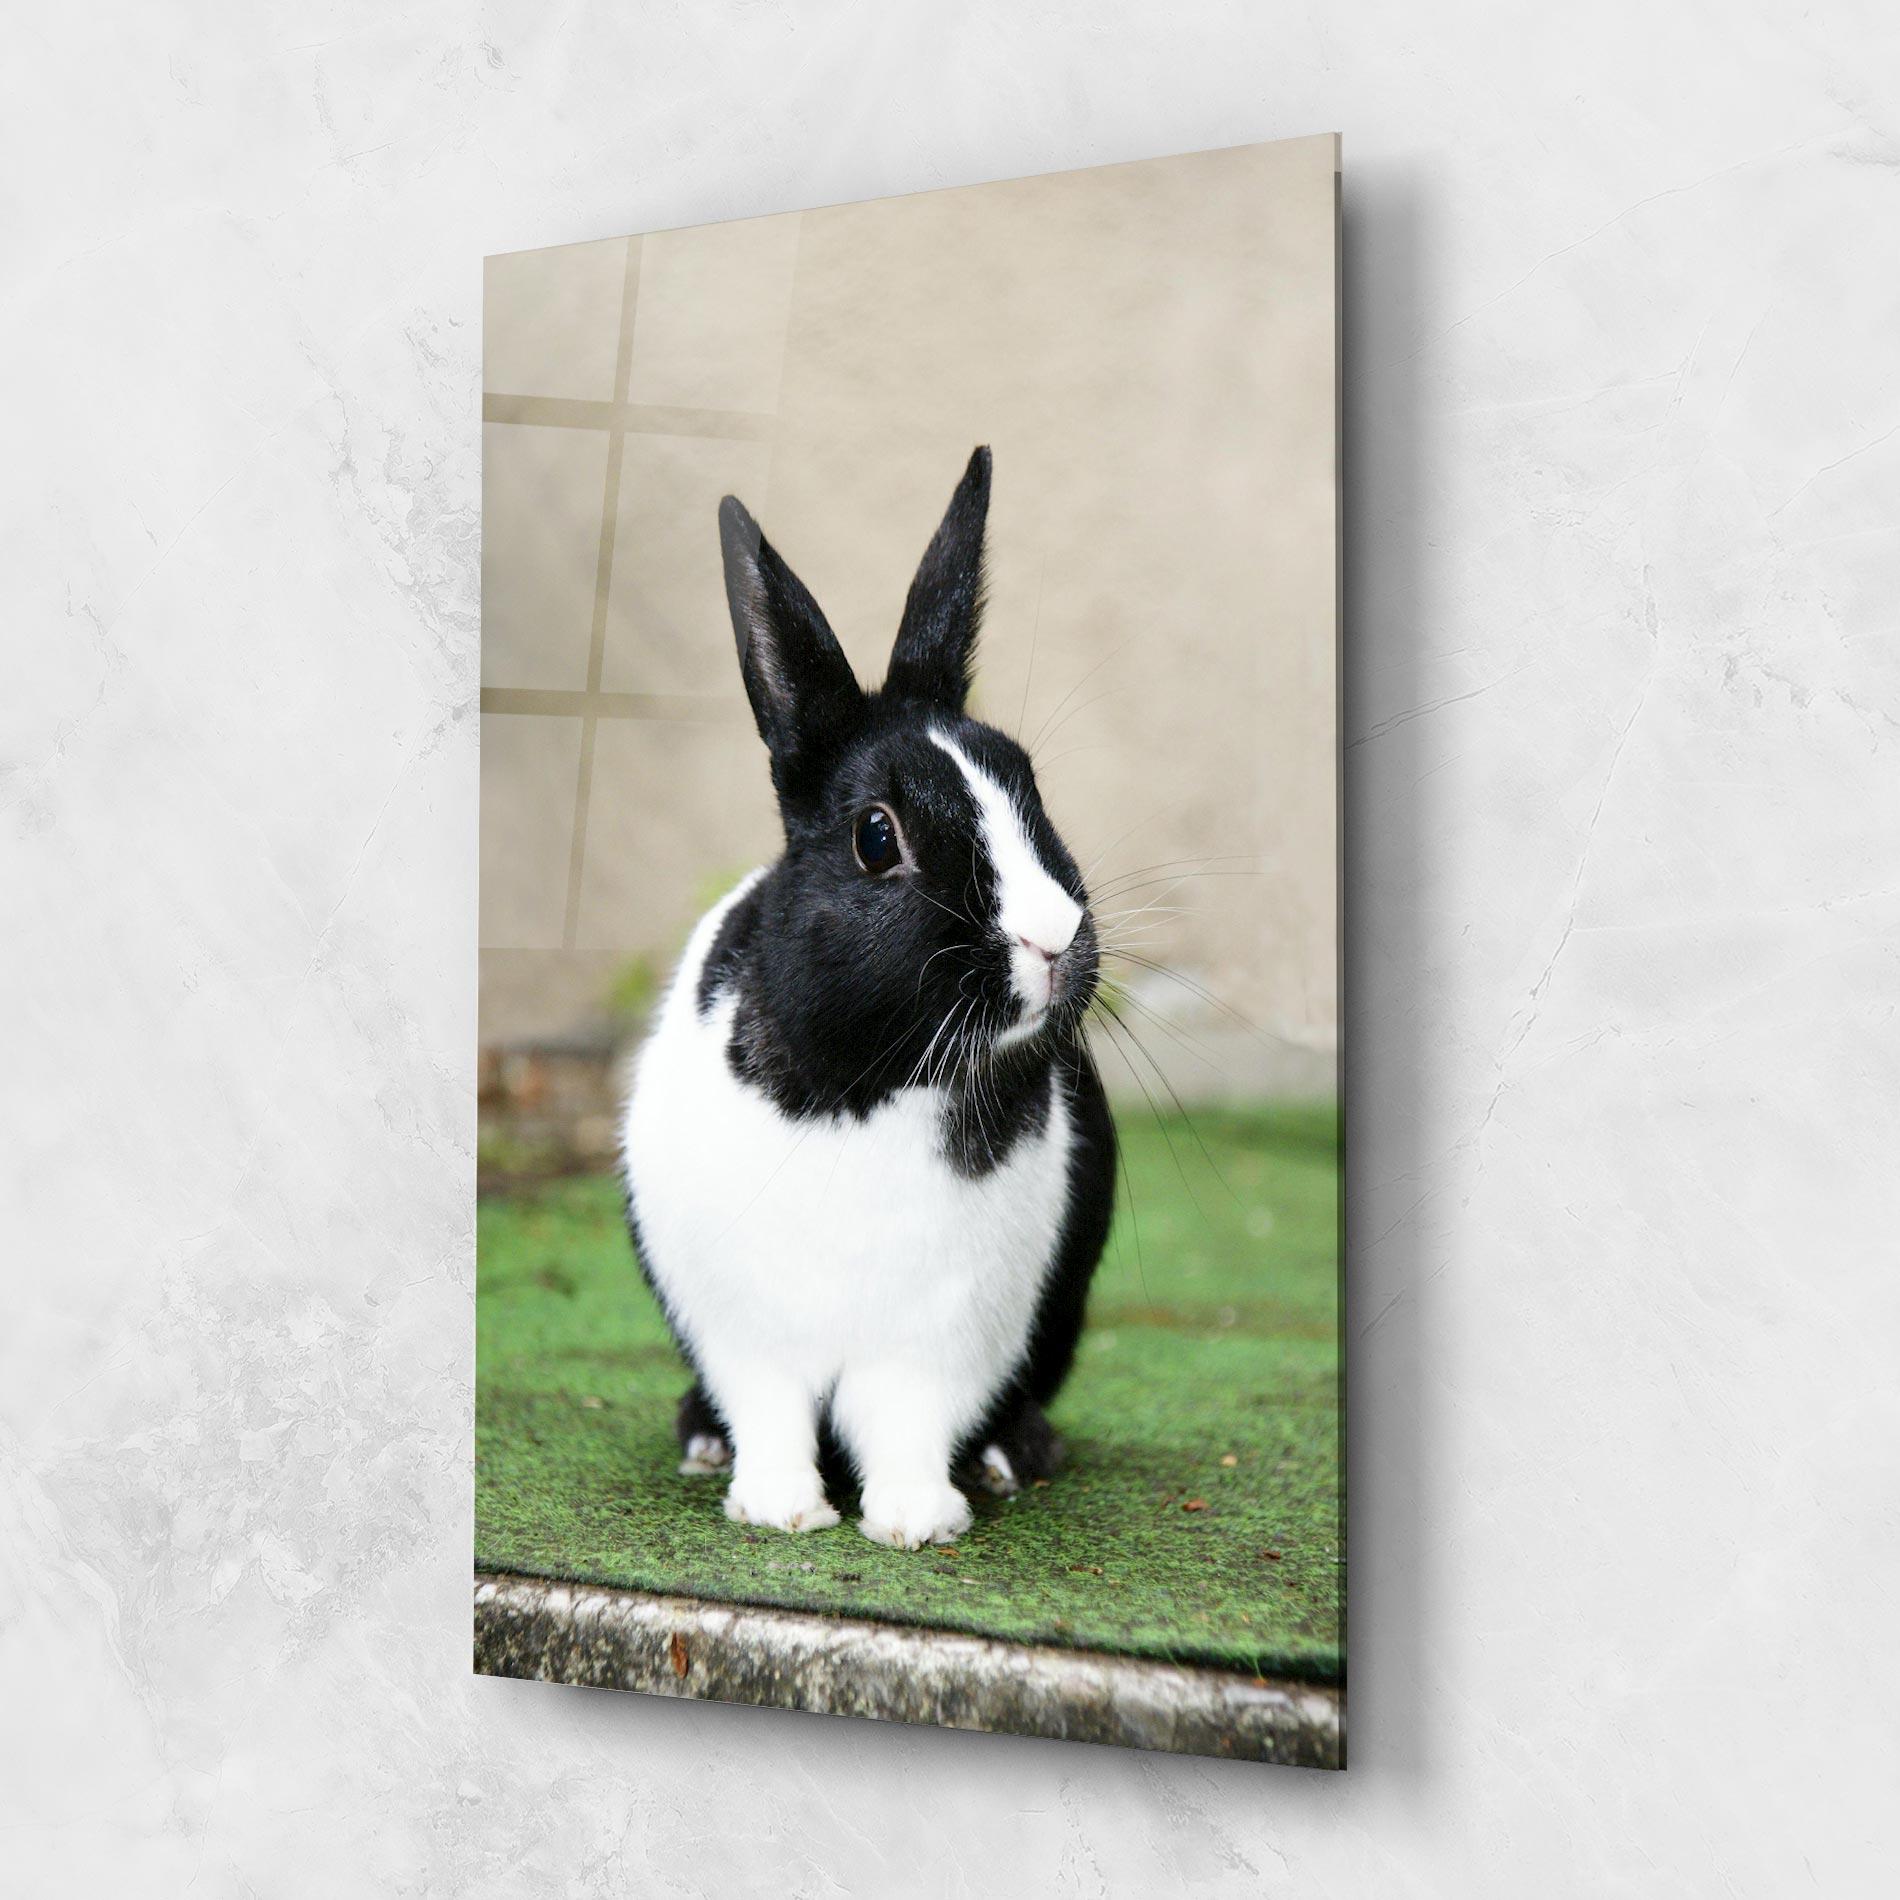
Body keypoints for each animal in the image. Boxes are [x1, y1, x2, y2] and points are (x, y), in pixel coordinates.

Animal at [619, 446, 1116, 1549]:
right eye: (877, 836)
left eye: (1030, 787)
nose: (1053, 937)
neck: (870, 1083)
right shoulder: (745, 1328)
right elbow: (768, 1412)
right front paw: (779, 1509)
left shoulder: (943, 1335)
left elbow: (908, 1423)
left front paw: (916, 1521)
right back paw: (699, 1438)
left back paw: (1014, 1455)